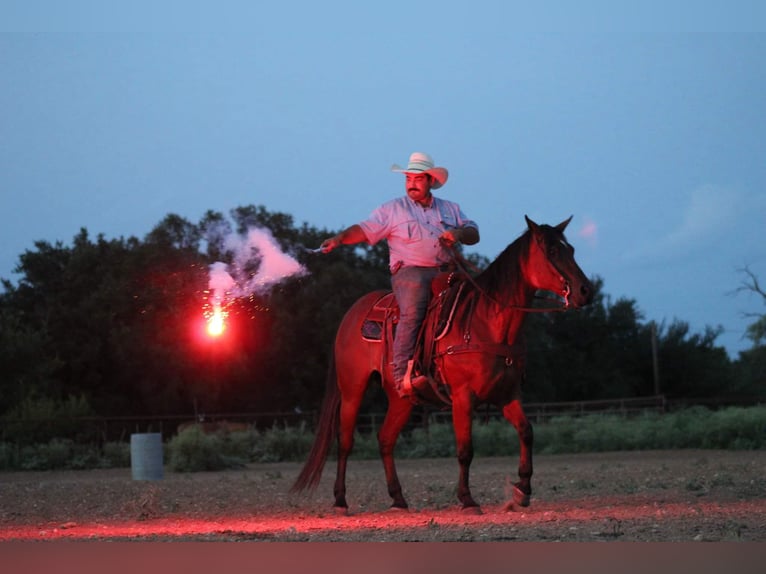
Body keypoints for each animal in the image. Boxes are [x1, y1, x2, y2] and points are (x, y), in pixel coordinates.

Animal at [292, 216, 596, 512]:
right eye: (552, 251)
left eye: (571, 249)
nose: (586, 291)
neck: (487, 321)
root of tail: (352, 313)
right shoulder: (463, 396)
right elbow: (465, 450)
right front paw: (467, 499)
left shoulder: (507, 394)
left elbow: (526, 432)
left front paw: (521, 490)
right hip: (352, 389)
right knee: (345, 441)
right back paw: (340, 500)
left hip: (401, 398)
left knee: (385, 439)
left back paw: (398, 499)